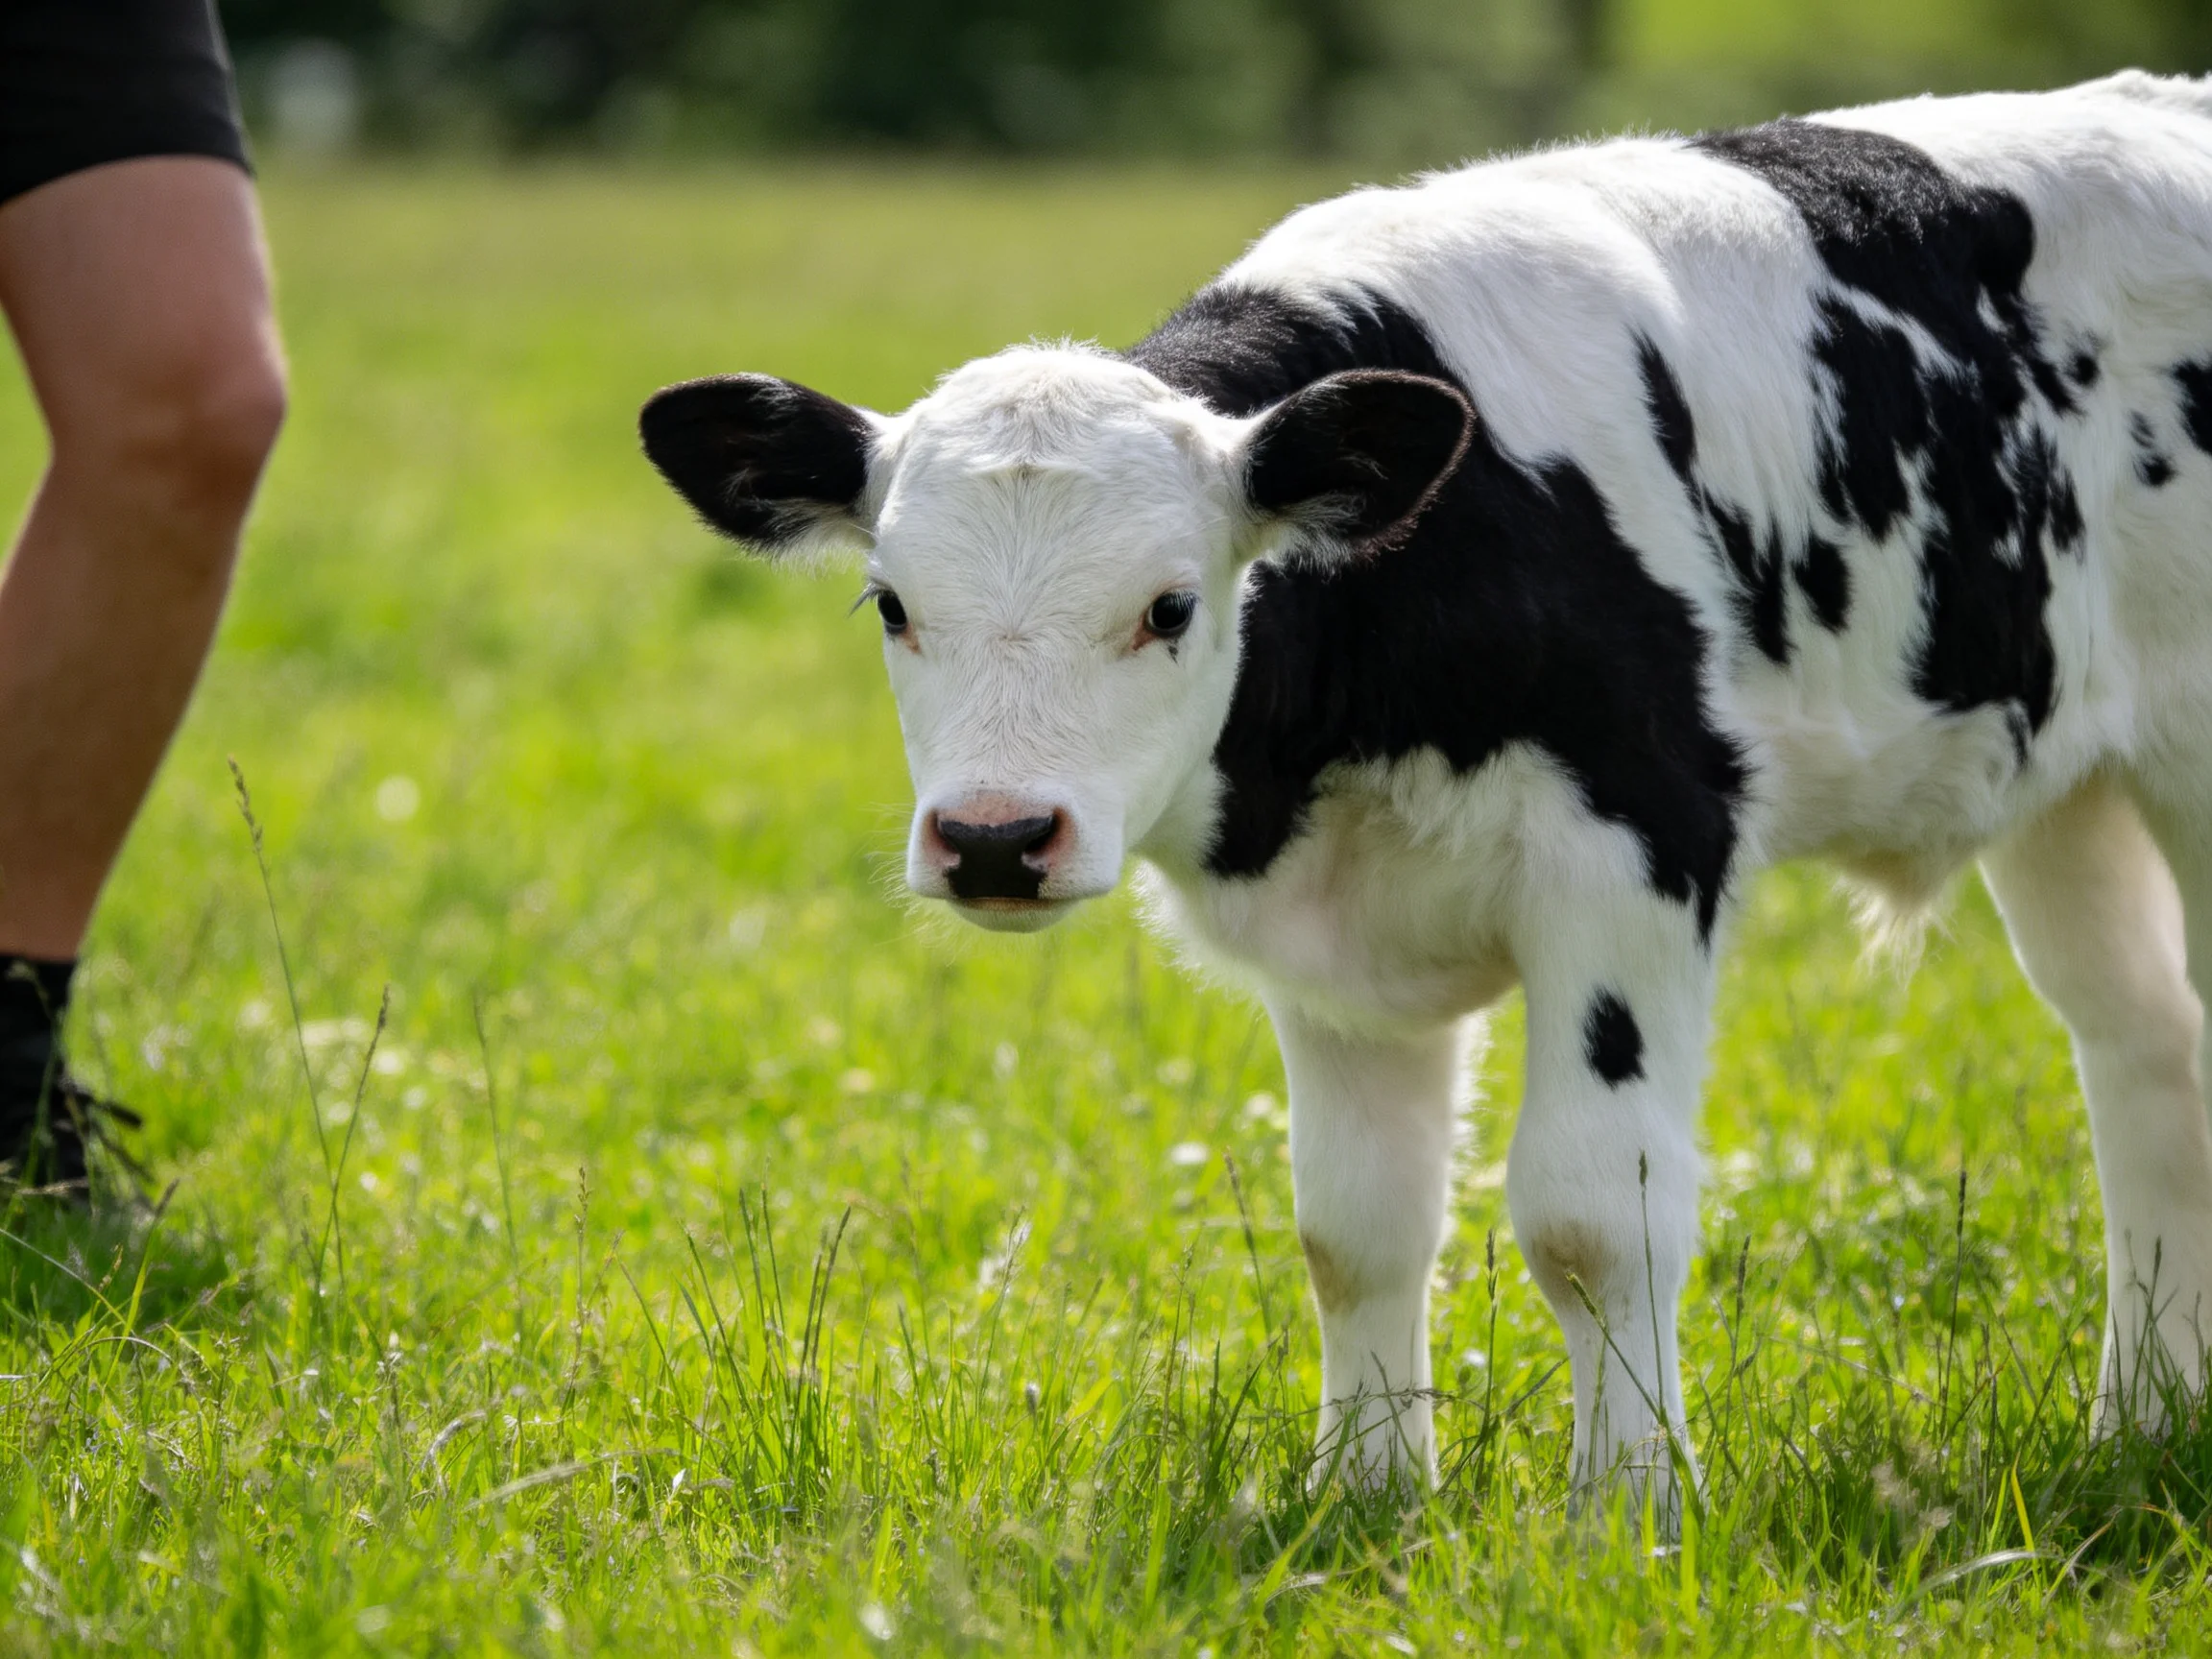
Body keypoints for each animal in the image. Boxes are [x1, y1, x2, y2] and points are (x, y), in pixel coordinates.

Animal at [639, 73, 2212, 1518]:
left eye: (1170, 606)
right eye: (892, 604)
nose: (994, 839)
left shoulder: (1642, 844)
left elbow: (1594, 1210)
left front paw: (1630, 1513)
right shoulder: (1332, 941)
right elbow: (1354, 1225)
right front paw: (1367, 1498)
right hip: (2071, 790)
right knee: (2146, 1052)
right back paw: (2144, 1422)